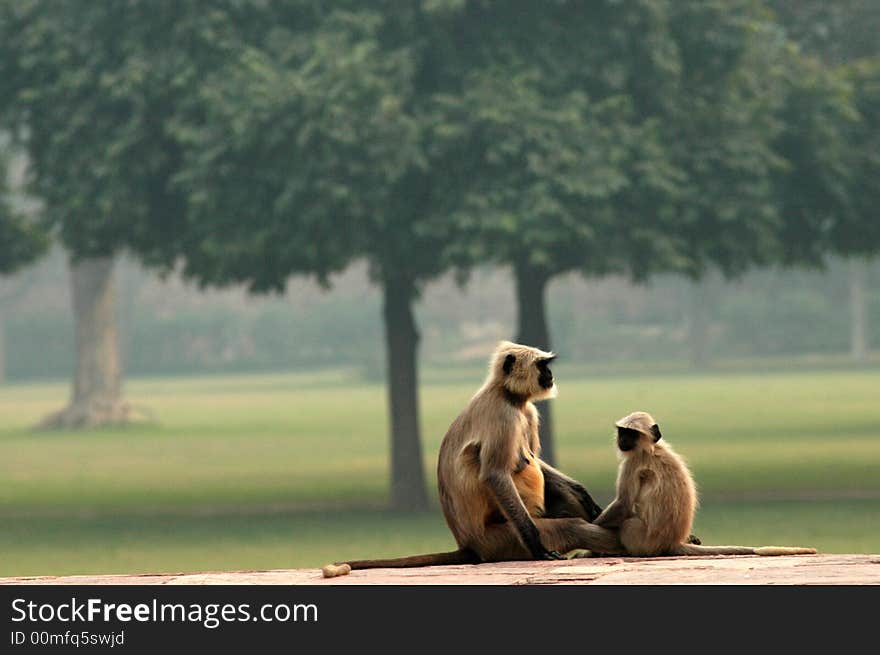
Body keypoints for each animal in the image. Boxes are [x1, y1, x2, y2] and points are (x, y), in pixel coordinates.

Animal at [592, 410, 820, 560]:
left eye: (630, 434)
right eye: (622, 432)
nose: (622, 439)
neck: (652, 448)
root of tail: (671, 542)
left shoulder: (632, 462)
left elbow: (623, 503)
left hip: (641, 538)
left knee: (628, 523)